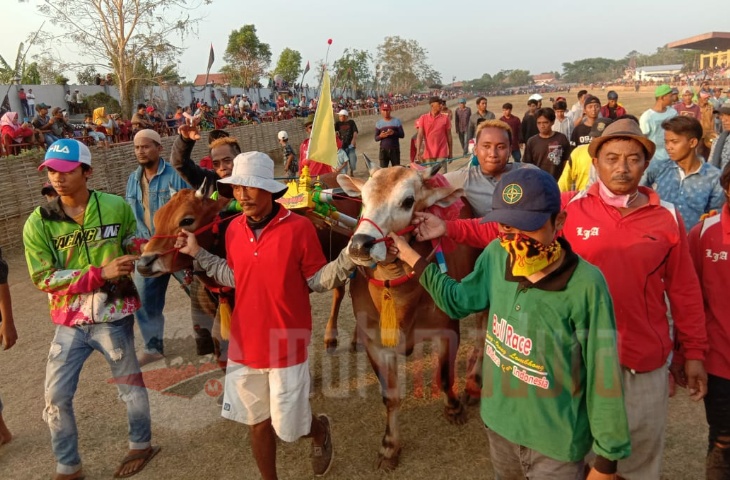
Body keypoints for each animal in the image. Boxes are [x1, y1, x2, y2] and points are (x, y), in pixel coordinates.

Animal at [336, 164, 484, 468]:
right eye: (363, 199)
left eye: (407, 201)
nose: (359, 245)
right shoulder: (375, 342)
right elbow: (390, 396)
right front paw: (390, 446)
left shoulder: (447, 329)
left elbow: (444, 376)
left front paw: (453, 409)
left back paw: (474, 383)